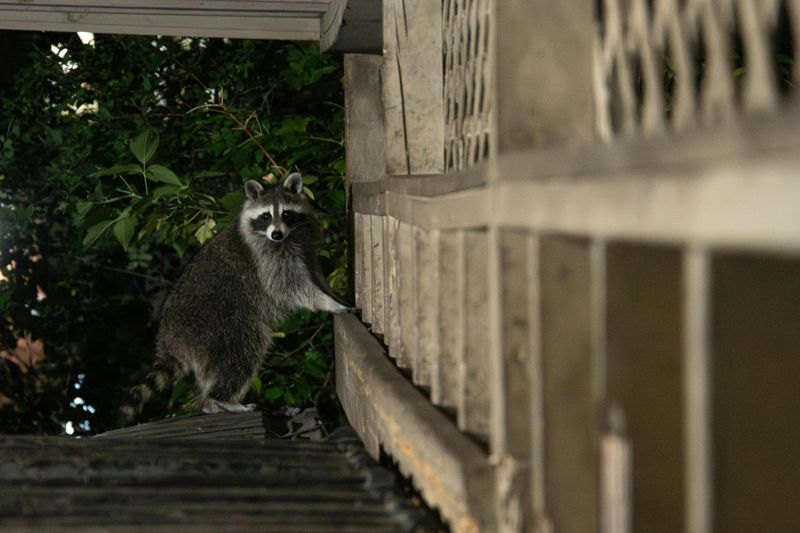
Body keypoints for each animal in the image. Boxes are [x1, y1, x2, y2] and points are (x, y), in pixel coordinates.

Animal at [119, 172, 352, 422]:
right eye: (266, 216)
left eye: (286, 214)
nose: (276, 234)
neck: (288, 237)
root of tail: (168, 340)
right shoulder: (265, 259)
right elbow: (289, 285)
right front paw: (329, 303)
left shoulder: (306, 242)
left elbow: (314, 273)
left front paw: (332, 294)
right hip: (217, 328)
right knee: (241, 354)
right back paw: (222, 400)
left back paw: (213, 405)